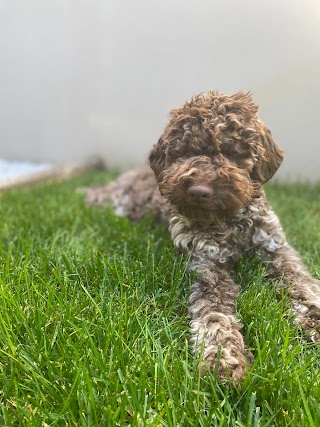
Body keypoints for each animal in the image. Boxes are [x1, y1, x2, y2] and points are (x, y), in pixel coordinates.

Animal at [85, 92, 320, 382]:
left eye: (232, 151)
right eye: (184, 152)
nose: (198, 191)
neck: (228, 220)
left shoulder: (276, 248)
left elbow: (301, 284)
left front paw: (313, 321)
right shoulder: (207, 264)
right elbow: (214, 313)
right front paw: (223, 357)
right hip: (122, 203)